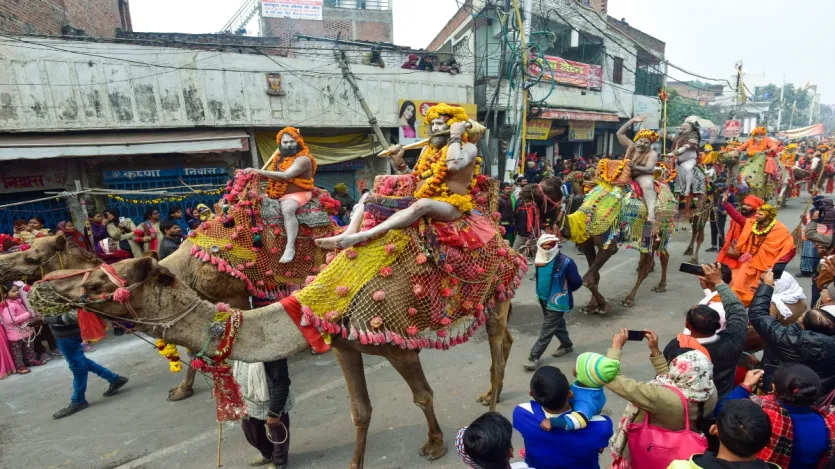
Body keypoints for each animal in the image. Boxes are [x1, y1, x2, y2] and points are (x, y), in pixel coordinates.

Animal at [36, 256, 520, 468]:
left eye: (97, 283)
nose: (41, 287)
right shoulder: (344, 347)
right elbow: (360, 412)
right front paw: (355, 465)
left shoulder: (398, 345)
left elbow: (422, 395)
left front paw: (435, 446)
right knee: (508, 337)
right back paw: (488, 394)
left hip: (496, 291)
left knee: (497, 337)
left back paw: (494, 399)